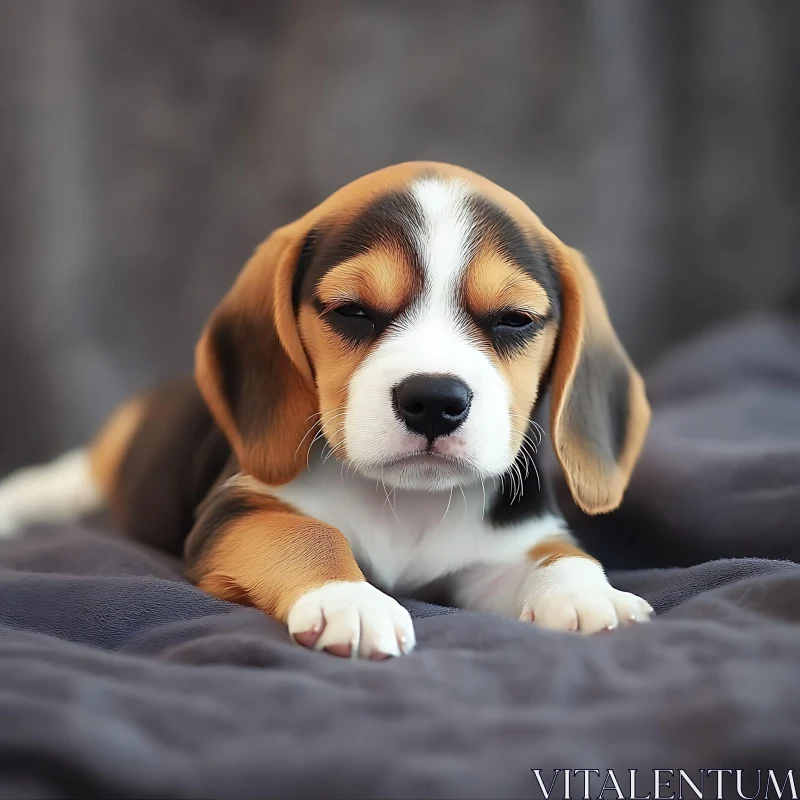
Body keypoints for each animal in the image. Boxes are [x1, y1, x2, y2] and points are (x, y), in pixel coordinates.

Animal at [0, 161, 648, 656]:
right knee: (69, 475)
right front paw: (351, 599)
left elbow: (559, 555)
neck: (404, 504)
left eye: (514, 320)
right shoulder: (238, 511)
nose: (434, 401)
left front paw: (590, 596)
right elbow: (307, 532)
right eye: (352, 311)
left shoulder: (506, 548)